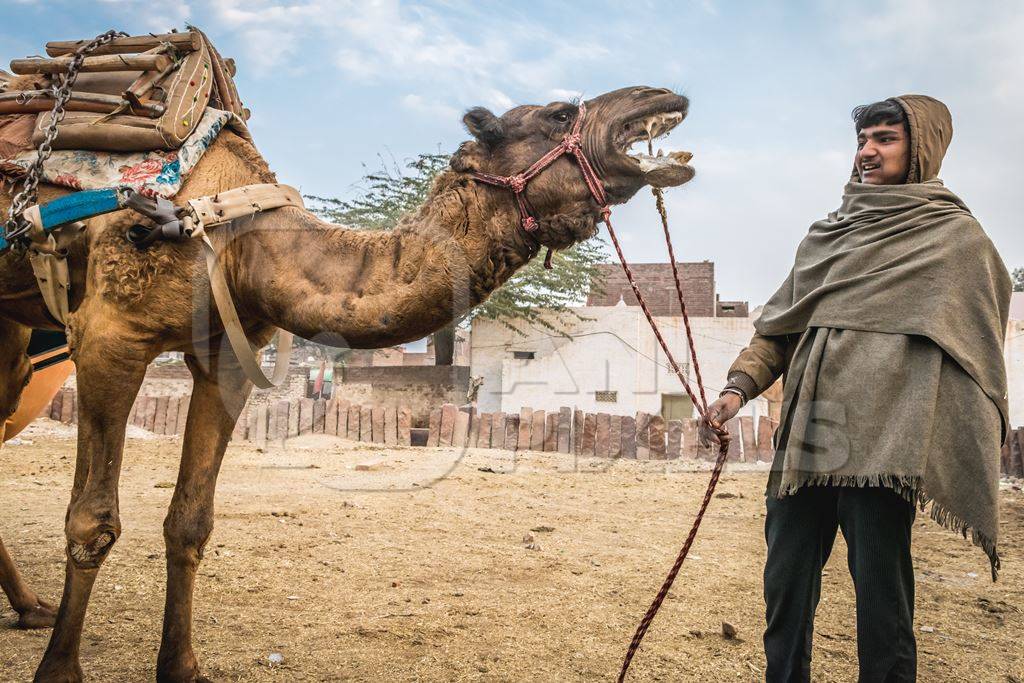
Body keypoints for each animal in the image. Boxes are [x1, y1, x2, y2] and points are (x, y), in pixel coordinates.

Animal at [0, 87, 692, 683]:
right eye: (556, 114)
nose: (660, 97)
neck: (229, 228)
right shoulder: (109, 335)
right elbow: (92, 521)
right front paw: (59, 672)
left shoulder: (228, 355)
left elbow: (190, 522)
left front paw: (182, 669)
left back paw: (31, 609)